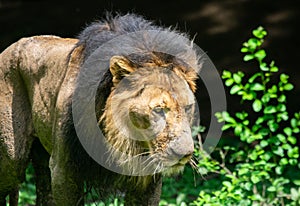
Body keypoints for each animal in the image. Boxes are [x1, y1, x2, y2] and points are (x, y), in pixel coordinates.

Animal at [0, 13, 202, 205]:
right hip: (12, 160)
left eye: (188, 107)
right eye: (159, 109)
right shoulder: (63, 169)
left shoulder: (148, 180)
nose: (184, 155)